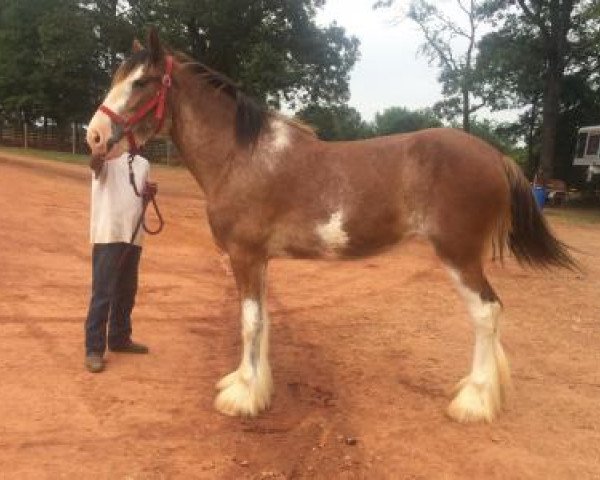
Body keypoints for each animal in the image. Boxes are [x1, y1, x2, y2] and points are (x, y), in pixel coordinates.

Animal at [85, 29, 576, 424]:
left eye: (141, 82)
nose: (94, 136)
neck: (241, 157)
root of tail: (497, 157)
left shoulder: (244, 256)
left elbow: (249, 323)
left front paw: (241, 398)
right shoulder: (259, 260)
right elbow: (262, 320)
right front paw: (251, 386)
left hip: (459, 255)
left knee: (486, 314)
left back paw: (473, 402)